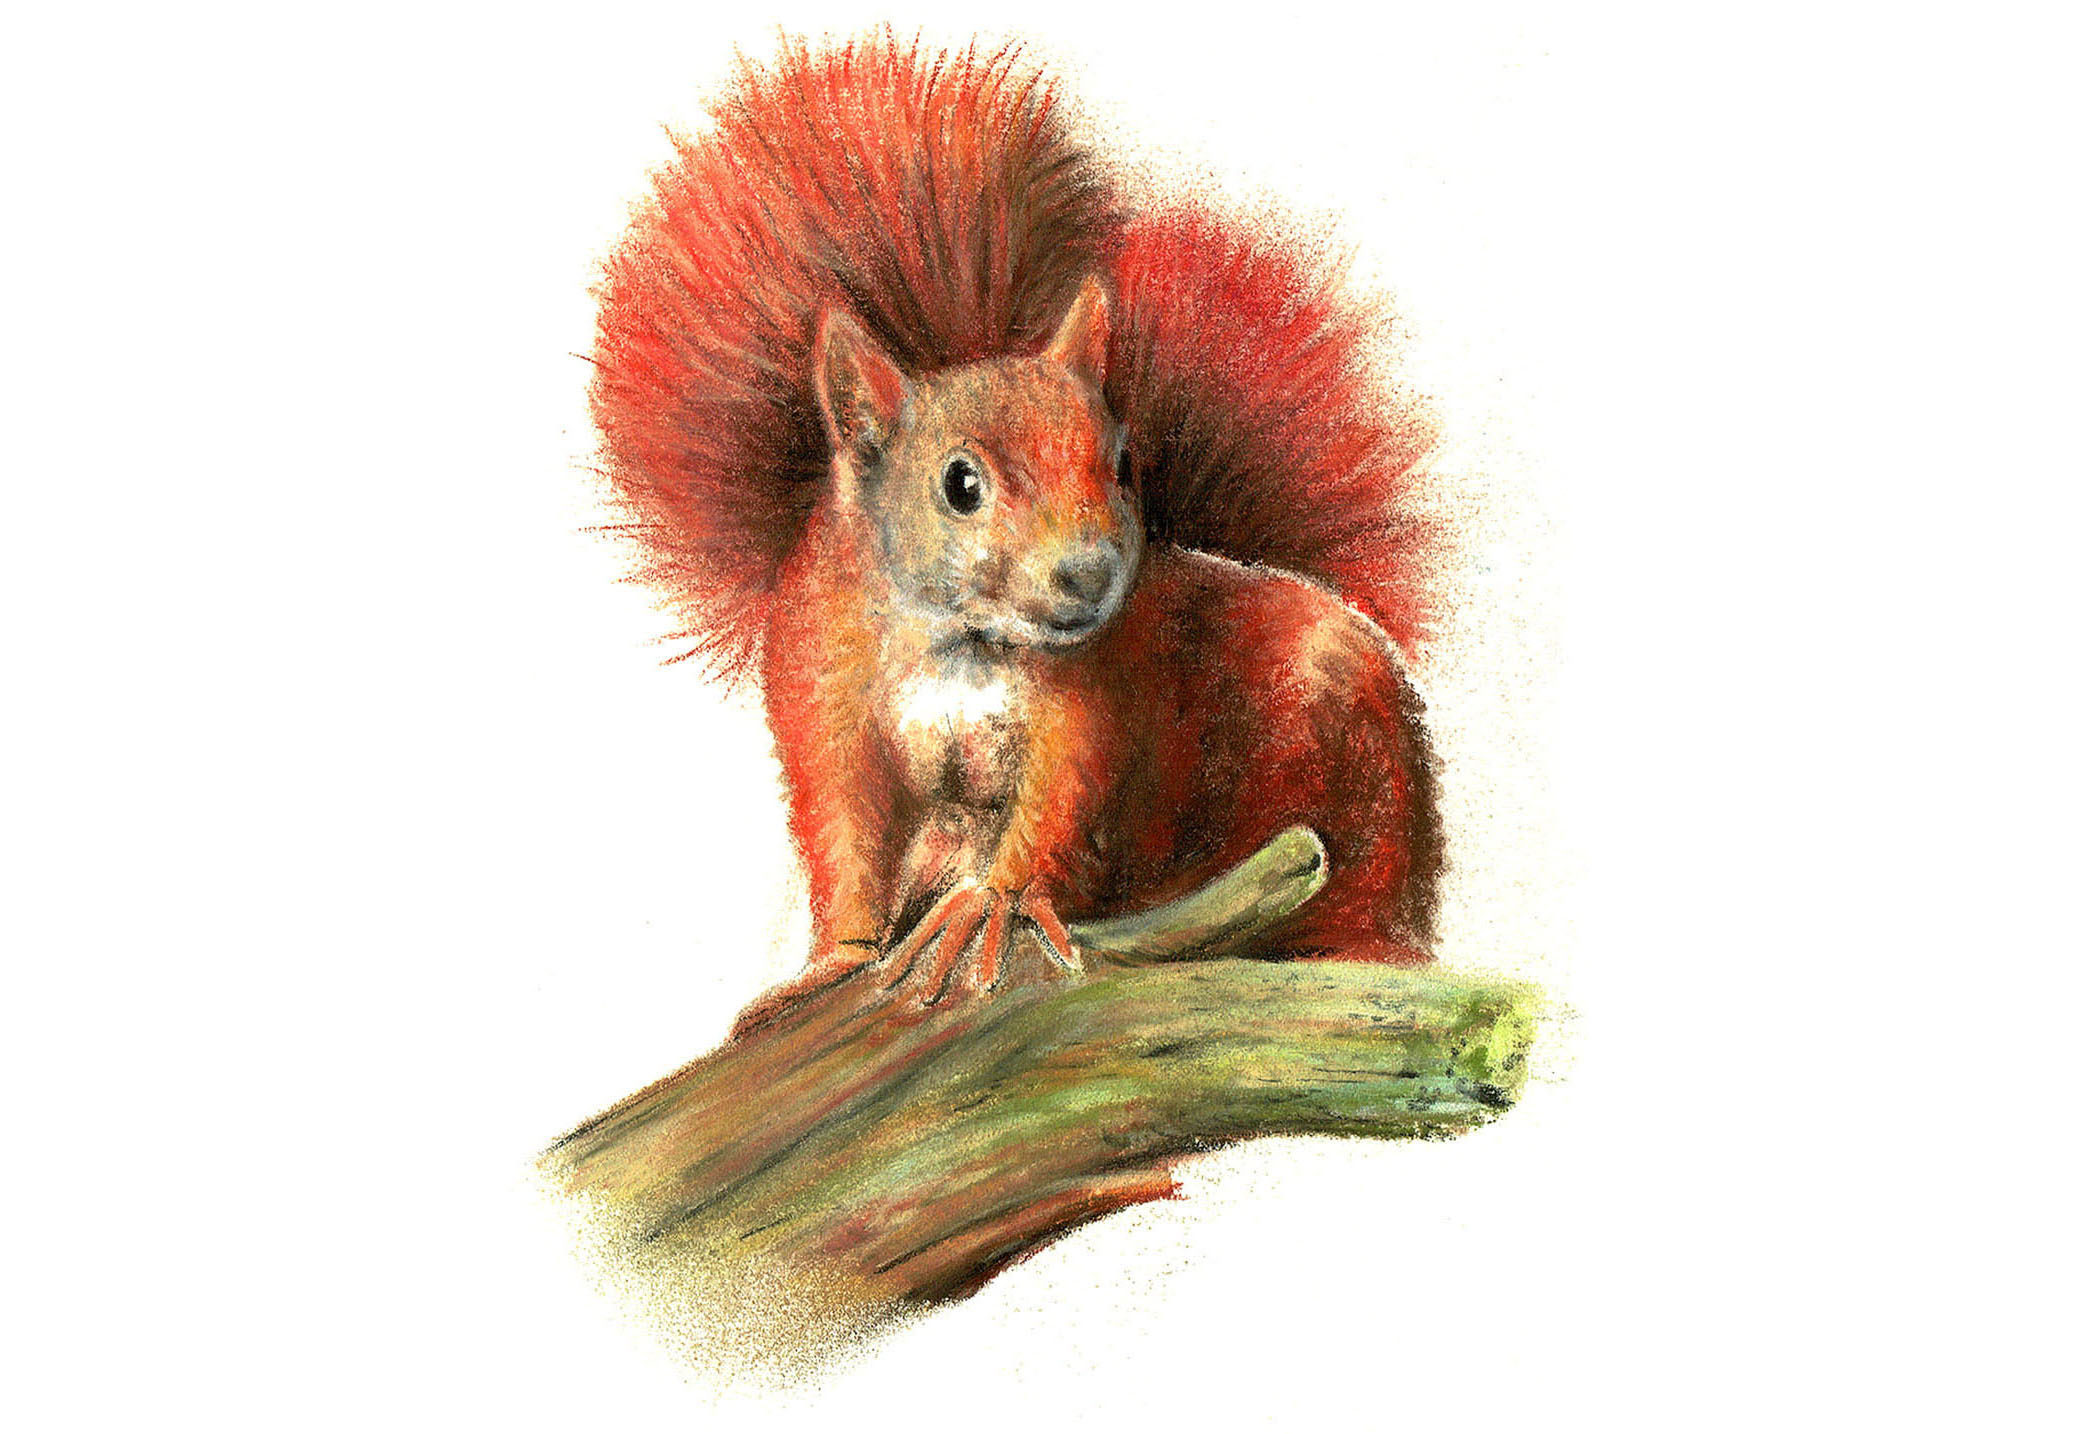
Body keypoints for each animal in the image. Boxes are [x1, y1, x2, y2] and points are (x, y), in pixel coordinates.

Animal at [588, 34, 1445, 1025]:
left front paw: (992, 906)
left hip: (1349, 758)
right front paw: (837, 957)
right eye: (960, 484)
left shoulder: (1097, 695)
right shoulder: (822, 691)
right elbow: (844, 830)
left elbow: (1058, 799)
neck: (963, 642)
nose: (1091, 574)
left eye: (1122, 462)